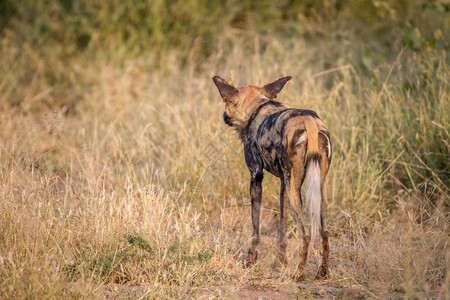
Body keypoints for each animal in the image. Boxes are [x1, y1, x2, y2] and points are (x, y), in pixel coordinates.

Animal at [213, 75, 332, 282]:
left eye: (226, 101)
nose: (224, 116)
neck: (257, 108)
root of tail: (309, 120)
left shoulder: (255, 176)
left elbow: (255, 229)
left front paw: (250, 262)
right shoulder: (284, 184)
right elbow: (282, 230)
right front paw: (279, 263)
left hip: (295, 197)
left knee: (306, 235)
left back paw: (299, 274)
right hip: (316, 192)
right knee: (324, 232)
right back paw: (321, 273)